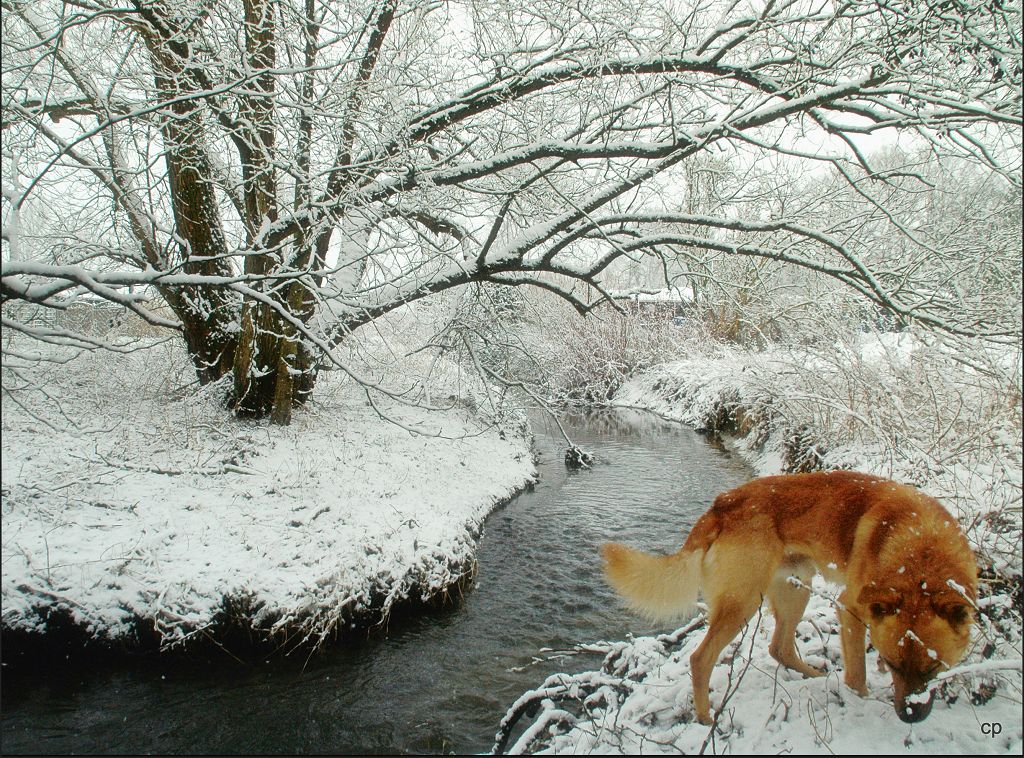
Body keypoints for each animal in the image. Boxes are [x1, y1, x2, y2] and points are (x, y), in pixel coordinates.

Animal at [602, 471, 978, 725]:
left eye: (935, 667)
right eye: (895, 664)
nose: (909, 716)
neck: (920, 551)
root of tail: (721, 506)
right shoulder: (850, 609)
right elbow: (857, 676)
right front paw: (862, 702)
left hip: (796, 589)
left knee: (778, 648)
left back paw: (813, 675)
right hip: (743, 603)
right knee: (701, 659)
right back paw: (707, 718)